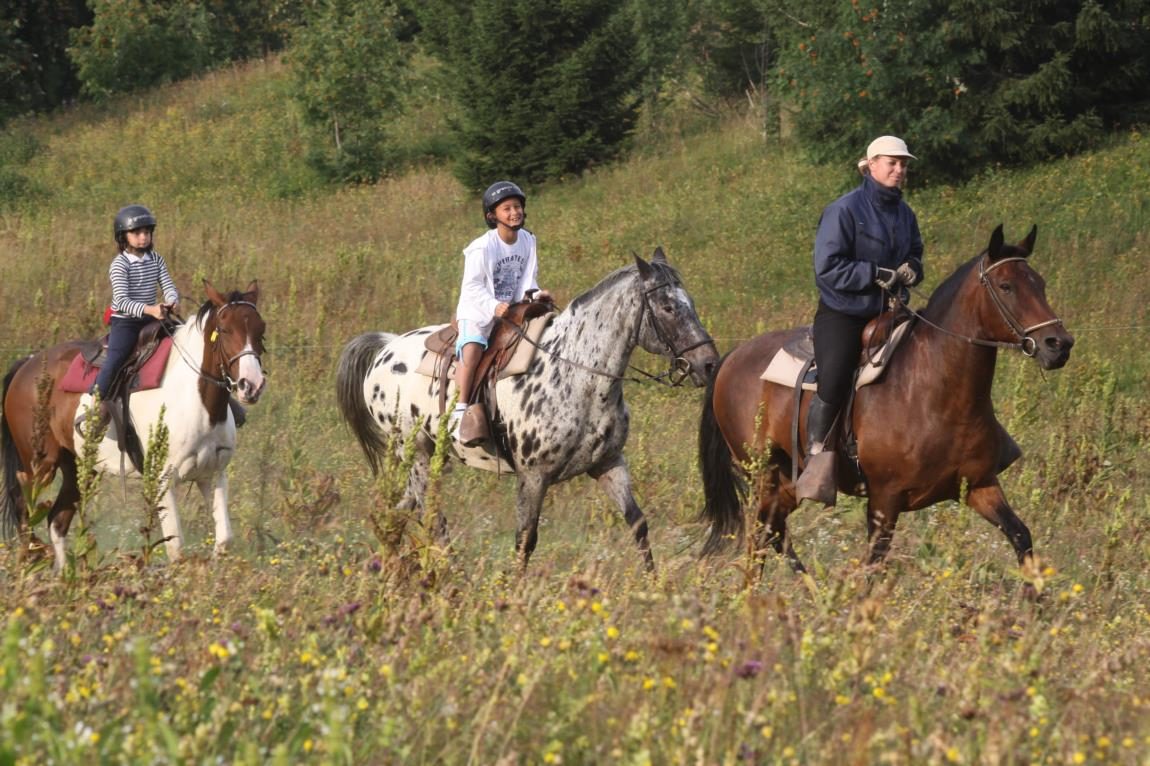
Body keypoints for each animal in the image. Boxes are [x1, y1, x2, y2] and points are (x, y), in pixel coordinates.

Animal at [3, 280, 266, 565]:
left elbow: (224, 539)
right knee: (24, 509)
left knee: (56, 520)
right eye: (225, 330)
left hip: (79, 466)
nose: (251, 386)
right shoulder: (163, 480)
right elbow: (176, 549)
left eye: (261, 330)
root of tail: (27, 364)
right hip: (40, 465)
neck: (196, 401)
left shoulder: (213, 473)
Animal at [333, 247, 722, 570]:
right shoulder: (533, 476)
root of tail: (386, 348)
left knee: (397, 513)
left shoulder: (608, 463)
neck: (576, 374)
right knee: (433, 520)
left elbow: (638, 523)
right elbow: (525, 540)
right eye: (668, 307)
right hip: (415, 454)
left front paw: (654, 586)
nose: (708, 364)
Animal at [694, 224, 1071, 570]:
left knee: (774, 534)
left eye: (1040, 284)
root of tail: (733, 357)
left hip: (786, 481)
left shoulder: (981, 485)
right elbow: (871, 569)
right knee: (760, 538)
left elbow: (1021, 536)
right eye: (1006, 286)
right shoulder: (884, 501)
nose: (1059, 344)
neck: (934, 393)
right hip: (763, 475)